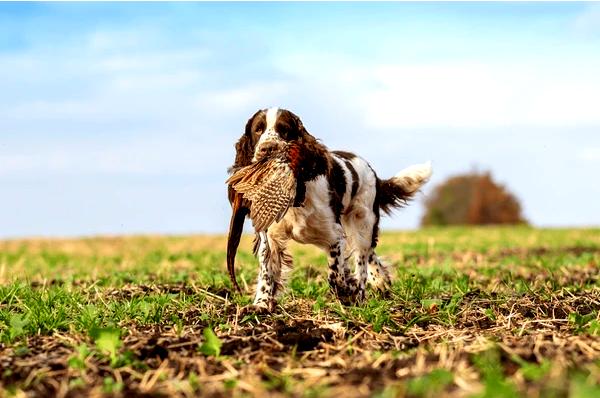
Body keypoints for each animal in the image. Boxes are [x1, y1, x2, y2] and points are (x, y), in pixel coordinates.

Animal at [226, 108, 432, 310]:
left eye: (284, 130)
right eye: (258, 130)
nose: (268, 148)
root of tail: (371, 170)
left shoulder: (335, 236)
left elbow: (335, 275)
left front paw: (347, 291)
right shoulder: (271, 238)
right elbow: (267, 273)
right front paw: (260, 304)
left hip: (363, 222)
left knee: (362, 259)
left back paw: (360, 292)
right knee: (368, 255)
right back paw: (380, 280)